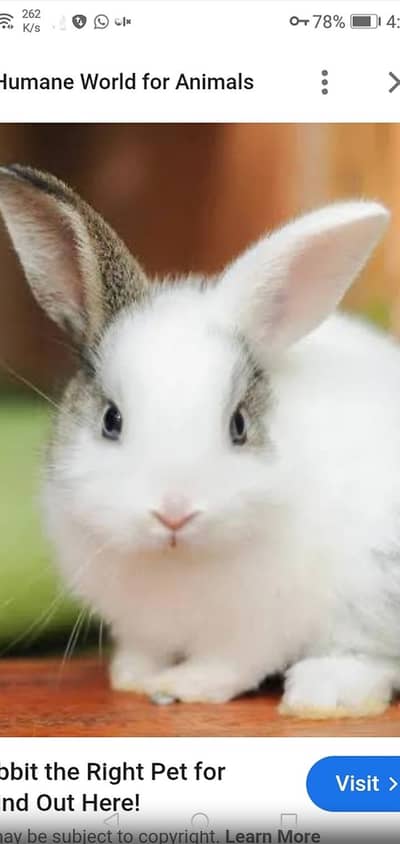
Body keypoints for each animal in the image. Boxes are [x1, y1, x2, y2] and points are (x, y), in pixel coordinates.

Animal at [0, 163, 398, 719]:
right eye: (111, 420)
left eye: (238, 425)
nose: (174, 513)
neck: (177, 561)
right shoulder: (140, 625)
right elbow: (145, 650)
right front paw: (131, 677)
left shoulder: (257, 629)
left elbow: (229, 665)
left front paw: (183, 685)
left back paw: (322, 695)